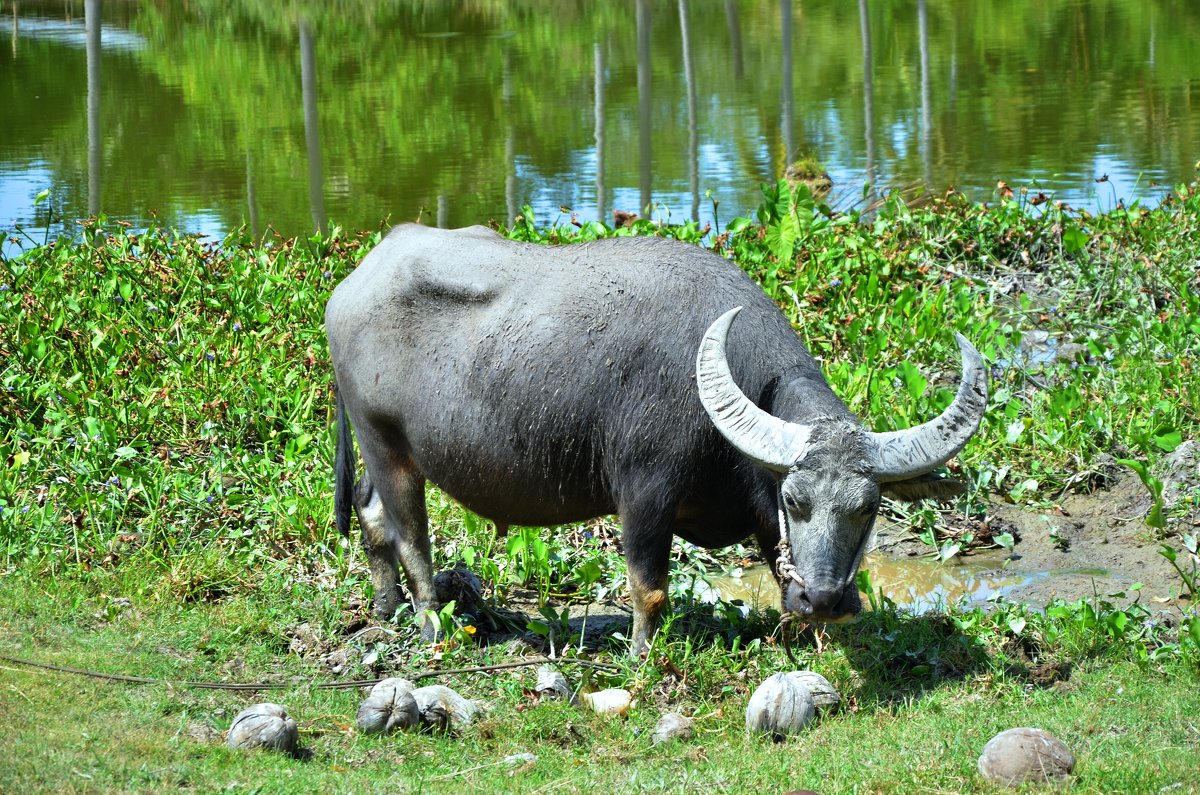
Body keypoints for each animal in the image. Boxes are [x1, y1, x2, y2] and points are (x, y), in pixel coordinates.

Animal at [326, 224, 984, 653]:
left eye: (869, 508)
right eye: (794, 500)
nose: (824, 601)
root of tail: (353, 282)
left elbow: (775, 568)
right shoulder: (644, 495)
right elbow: (650, 589)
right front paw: (643, 656)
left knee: (370, 514)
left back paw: (385, 609)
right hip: (385, 444)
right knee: (411, 538)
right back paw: (431, 626)